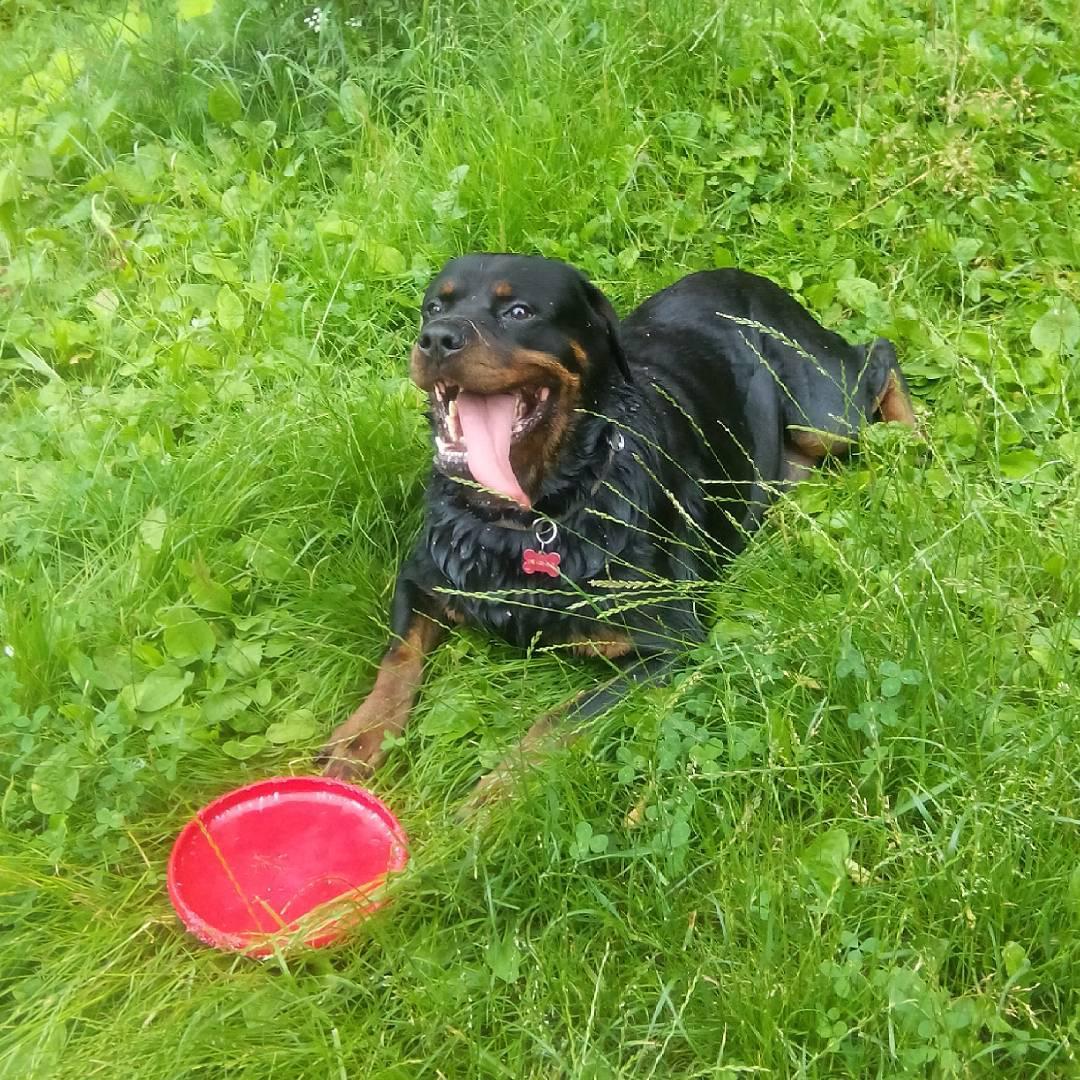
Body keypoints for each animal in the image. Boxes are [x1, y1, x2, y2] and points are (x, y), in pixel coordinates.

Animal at [315, 252, 915, 794]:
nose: (436, 338)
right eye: (434, 307)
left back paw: (913, 441)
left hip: (825, 411)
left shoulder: (671, 643)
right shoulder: (424, 574)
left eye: (519, 312)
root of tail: (745, 276)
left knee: (878, 356)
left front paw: (495, 795)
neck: (534, 513)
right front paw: (358, 740)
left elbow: (557, 721)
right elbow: (397, 658)